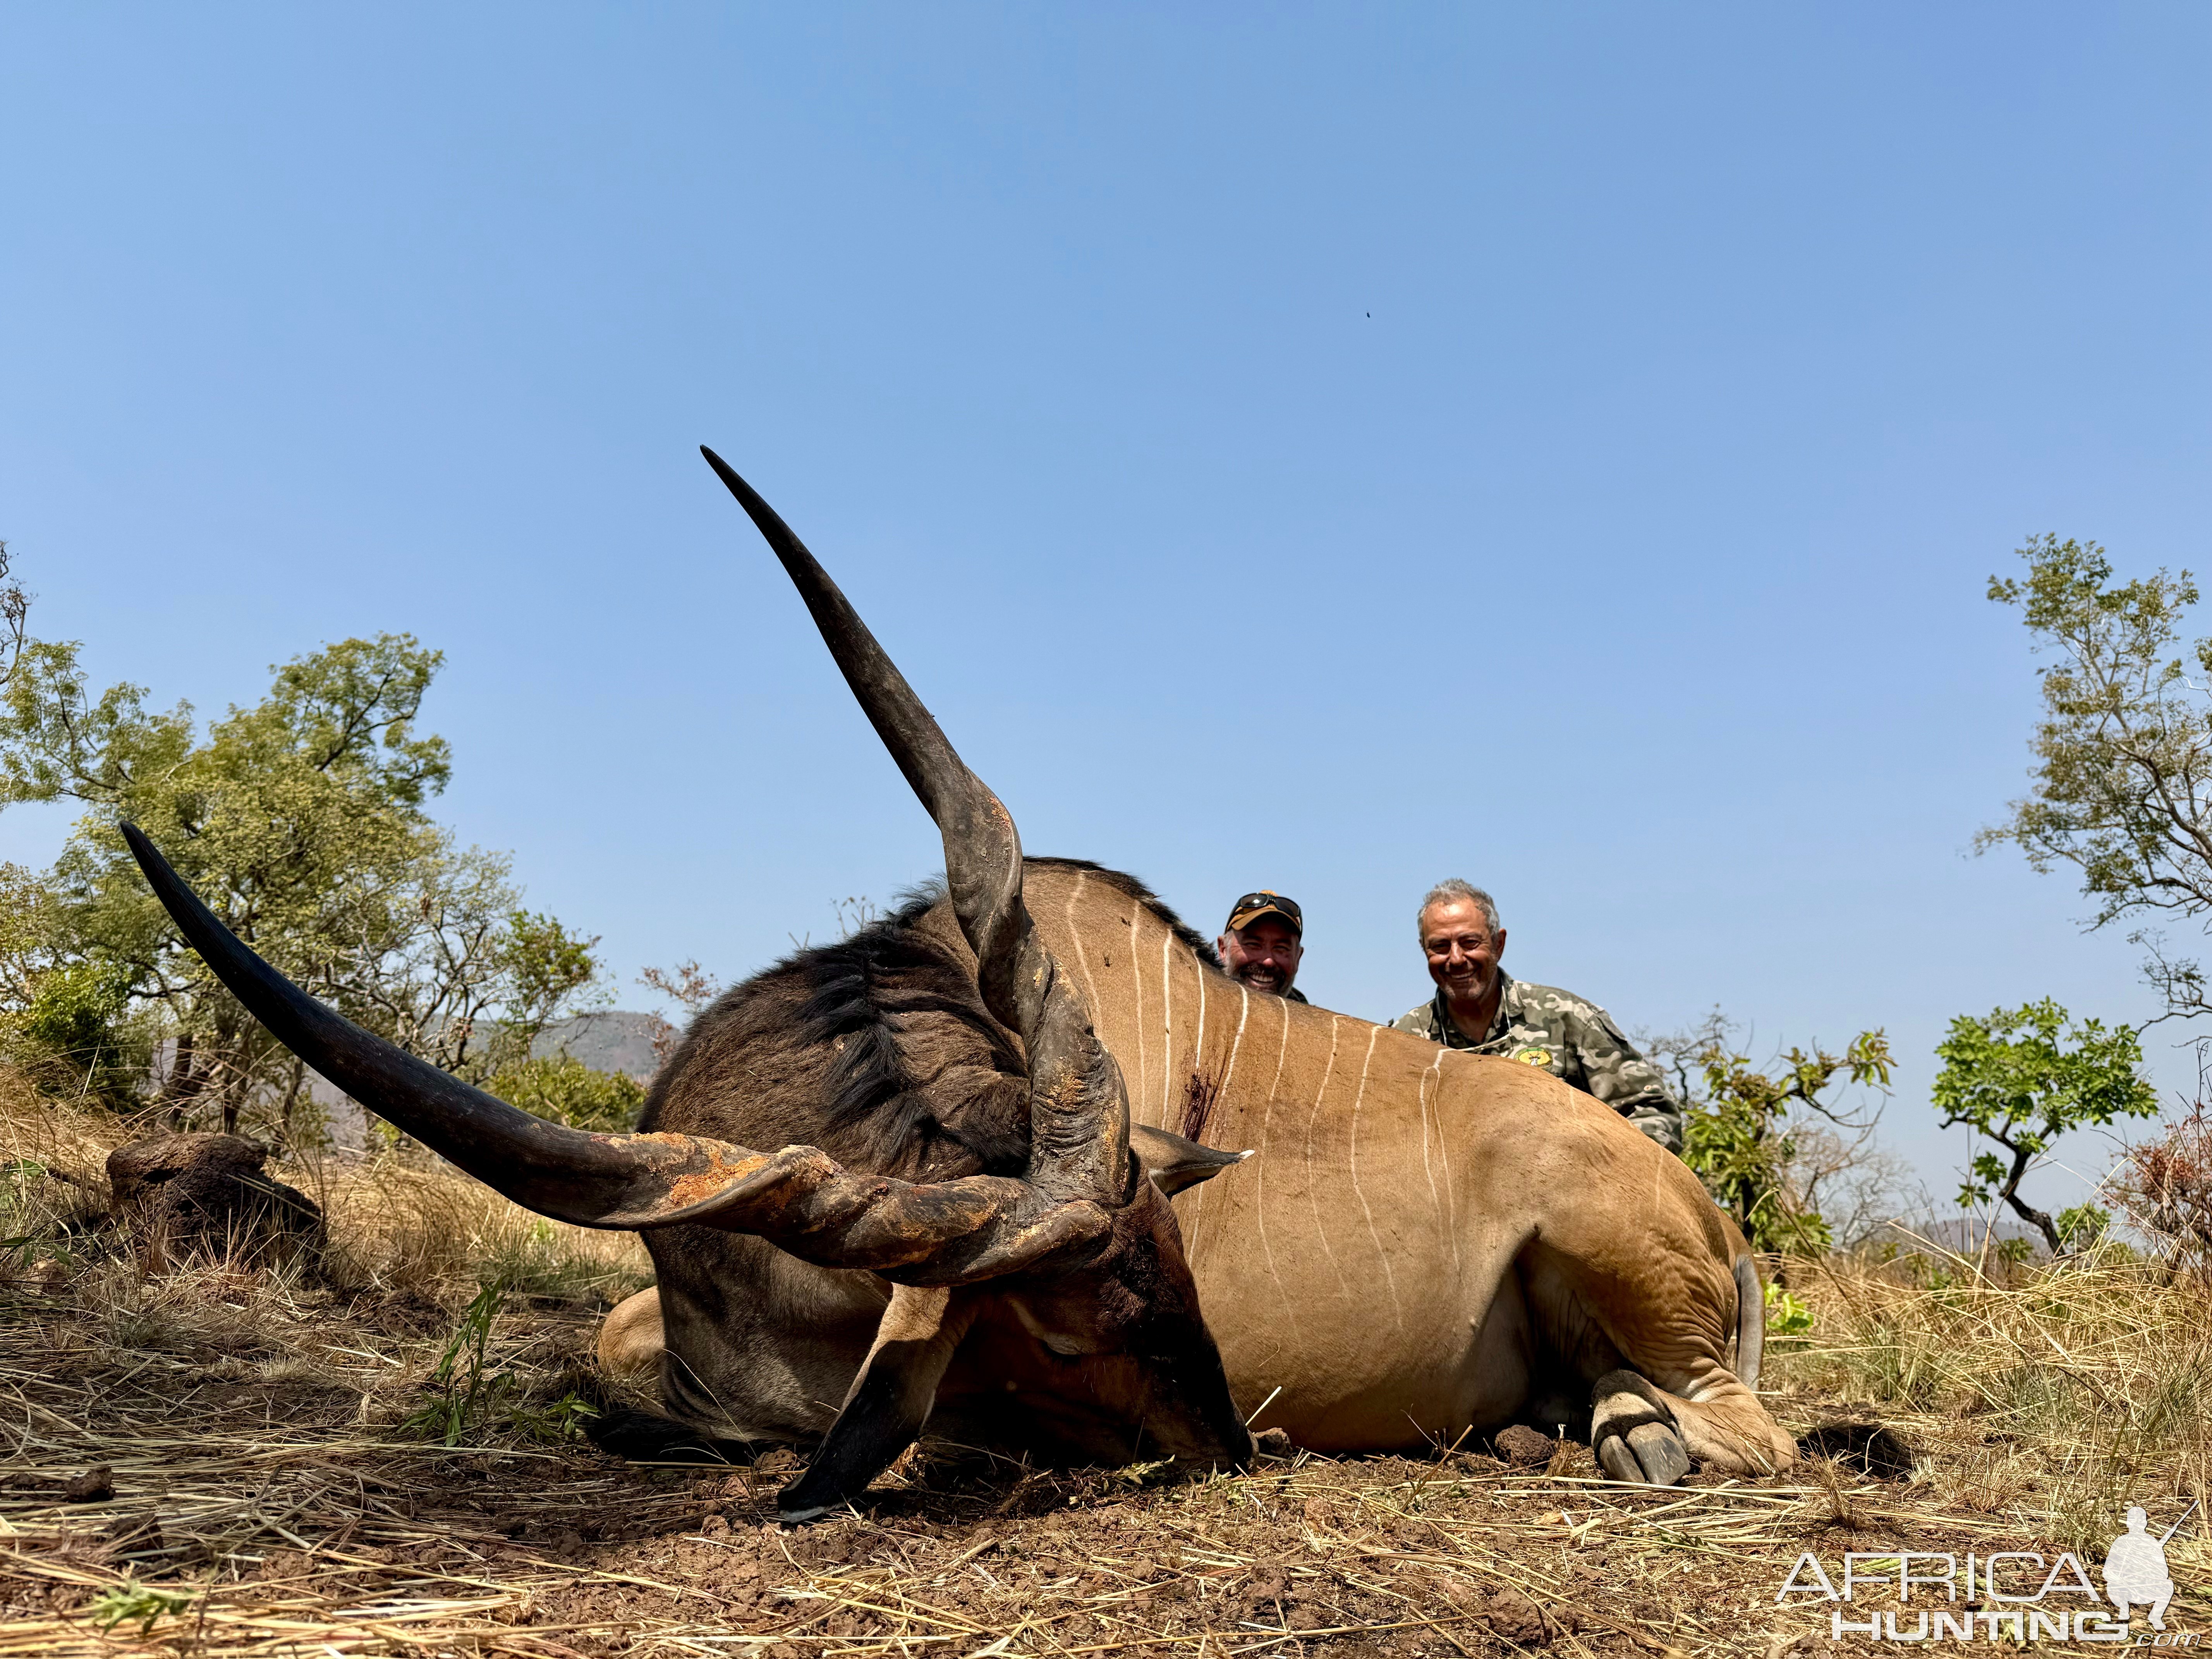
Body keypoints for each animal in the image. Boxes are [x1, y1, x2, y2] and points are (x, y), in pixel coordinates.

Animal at [125, 449, 1796, 1530]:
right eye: (1071, 1324)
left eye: (1180, 1273)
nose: (1238, 1448)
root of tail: (1704, 1214)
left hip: (1620, 1258)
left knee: (1750, 1442)